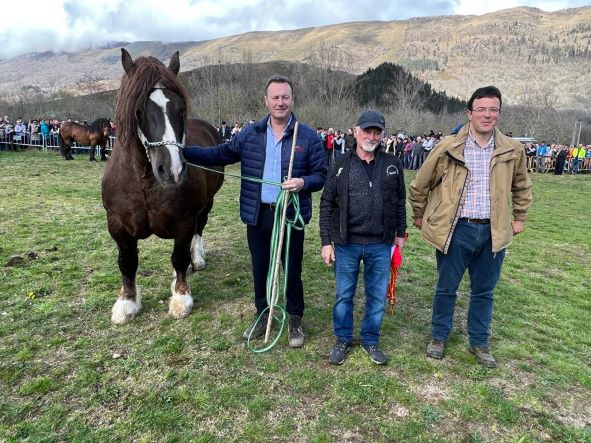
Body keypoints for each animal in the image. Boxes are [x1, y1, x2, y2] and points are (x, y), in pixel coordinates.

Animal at [102, 49, 224, 326]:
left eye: (181, 109)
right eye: (139, 110)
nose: (172, 170)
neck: (145, 183)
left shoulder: (185, 221)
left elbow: (179, 256)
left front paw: (181, 298)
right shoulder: (118, 225)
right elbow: (127, 262)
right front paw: (126, 303)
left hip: (206, 205)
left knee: (199, 231)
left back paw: (197, 259)